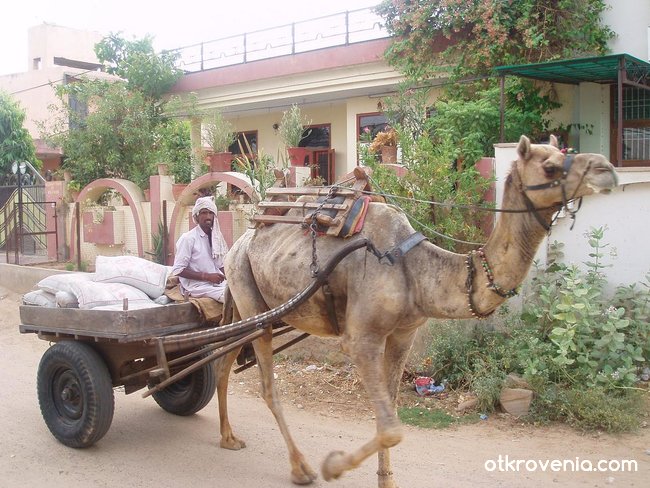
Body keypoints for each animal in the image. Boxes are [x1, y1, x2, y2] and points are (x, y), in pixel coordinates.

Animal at [215, 134, 616, 488]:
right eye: (549, 166)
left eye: (565, 151)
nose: (607, 169)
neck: (414, 268)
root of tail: (239, 242)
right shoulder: (360, 339)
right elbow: (392, 427)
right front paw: (333, 466)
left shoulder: (403, 335)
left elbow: (389, 416)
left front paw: (384, 479)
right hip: (251, 297)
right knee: (267, 386)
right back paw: (300, 468)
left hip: (250, 308)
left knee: (223, 358)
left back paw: (229, 437)